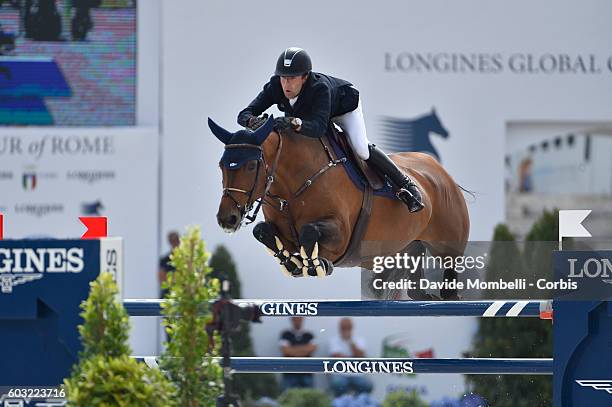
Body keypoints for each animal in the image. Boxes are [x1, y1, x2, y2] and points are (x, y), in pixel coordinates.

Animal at [208, 115, 470, 300]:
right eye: (221, 165)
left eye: (252, 165)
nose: (227, 219)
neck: (292, 185)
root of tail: (440, 173)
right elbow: (262, 231)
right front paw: (292, 263)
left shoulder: (341, 235)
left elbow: (310, 232)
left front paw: (316, 264)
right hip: (402, 250)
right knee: (414, 287)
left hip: (448, 244)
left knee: (449, 273)